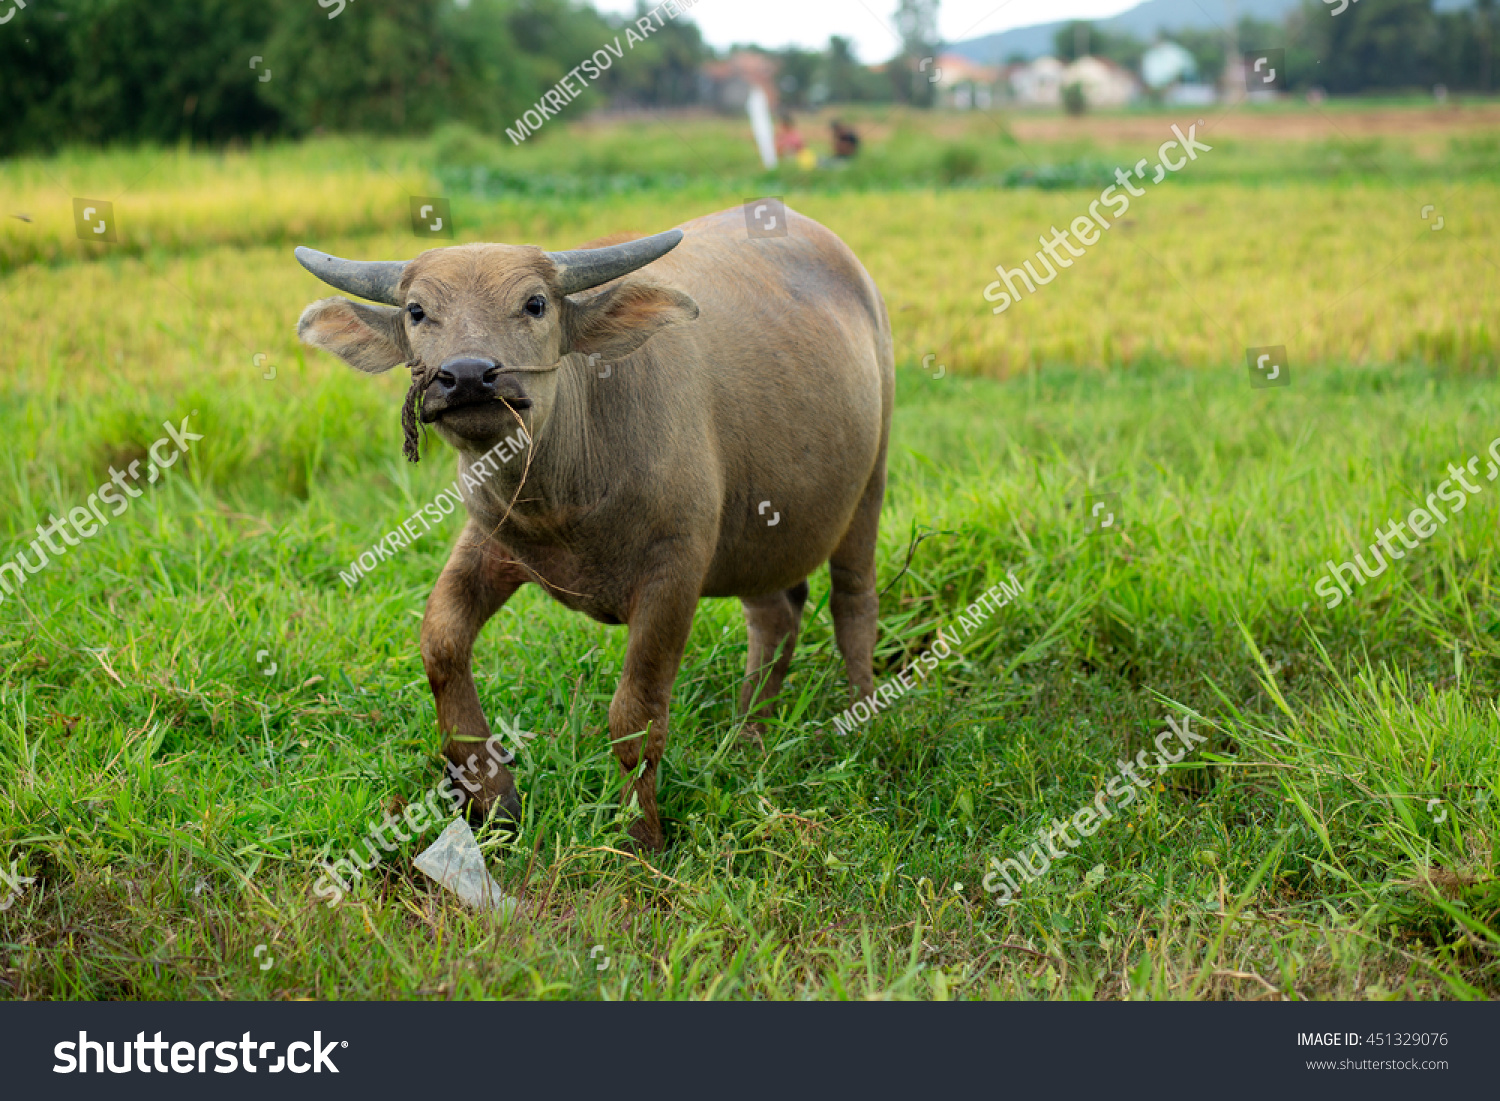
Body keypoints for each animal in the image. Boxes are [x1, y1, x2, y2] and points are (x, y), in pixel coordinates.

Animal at [292, 211, 888, 858]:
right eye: (418, 311)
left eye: (534, 303)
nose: (469, 376)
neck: (567, 494)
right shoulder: (493, 539)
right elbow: (442, 645)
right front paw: (495, 800)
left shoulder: (674, 570)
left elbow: (635, 715)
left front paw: (641, 835)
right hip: (757, 534)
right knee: (776, 616)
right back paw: (747, 733)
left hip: (869, 486)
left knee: (853, 602)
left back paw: (862, 714)